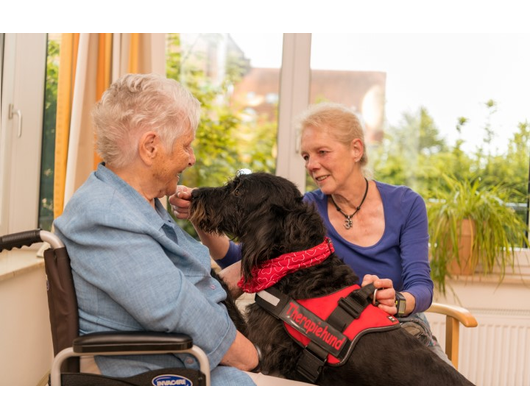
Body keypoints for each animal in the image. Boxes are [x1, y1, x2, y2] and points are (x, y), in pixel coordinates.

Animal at [190, 172, 470, 386]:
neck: (300, 263)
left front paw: (210, 272)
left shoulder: (261, 353)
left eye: (238, 191)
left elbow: (228, 303)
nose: (194, 195)